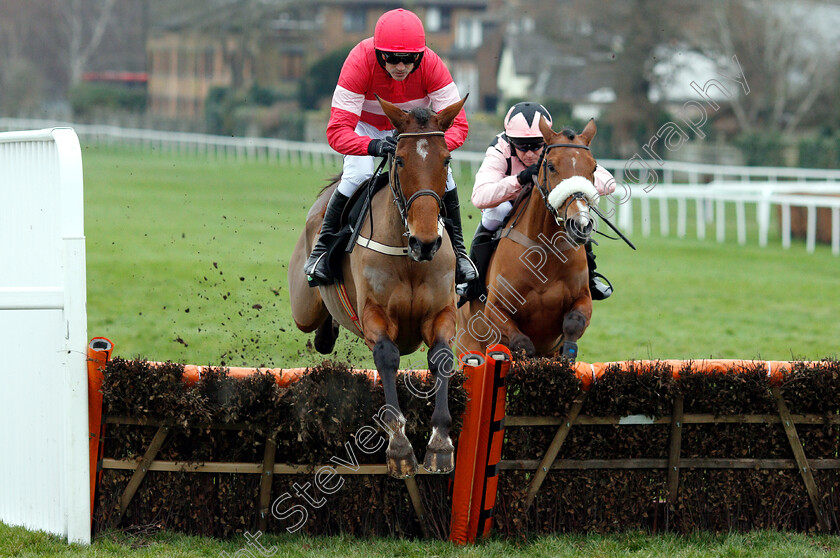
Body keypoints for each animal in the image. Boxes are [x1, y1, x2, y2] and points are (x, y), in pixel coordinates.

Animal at [288, 96, 462, 482]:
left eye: (446, 159)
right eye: (399, 159)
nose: (425, 242)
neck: (408, 257)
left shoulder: (441, 313)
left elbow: (441, 358)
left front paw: (440, 443)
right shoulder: (375, 317)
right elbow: (386, 356)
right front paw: (399, 449)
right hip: (303, 307)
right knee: (315, 323)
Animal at [456, 119, 600, 364]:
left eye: (594, 168)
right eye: (550, 166)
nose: (580, 225)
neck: (545, 250)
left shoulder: (582, 299)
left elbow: (574, 323)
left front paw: (567, 358)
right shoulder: (496, 310)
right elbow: (522, 344)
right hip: (468, 346)